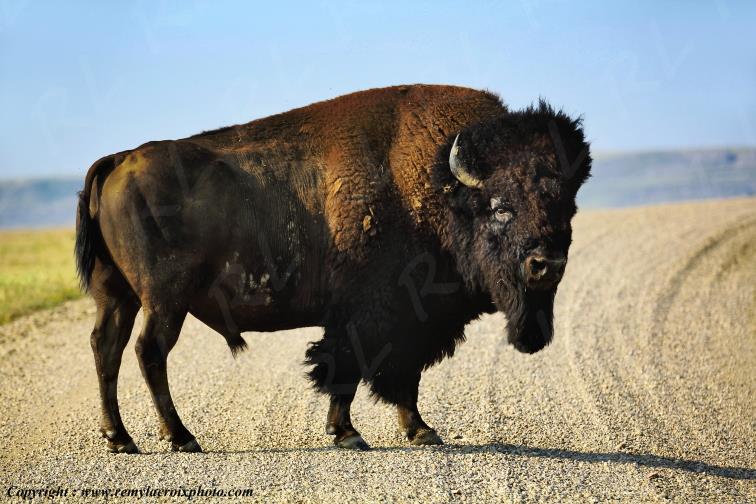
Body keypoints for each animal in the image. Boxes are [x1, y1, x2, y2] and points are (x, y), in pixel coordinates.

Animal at [76, 84, 591, 453]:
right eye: (501, 207)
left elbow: (402, 376)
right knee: (148, 352)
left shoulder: (410, 321)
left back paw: (121, 440)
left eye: (566, 207)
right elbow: (353, 369)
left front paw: (420, 430)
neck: (440, 183)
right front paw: (351, 434)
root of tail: (118, 160)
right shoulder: (374, 315)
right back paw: (181, 438)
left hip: (118, 296)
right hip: (165, 300)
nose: (545, 265)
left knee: (107, 348)